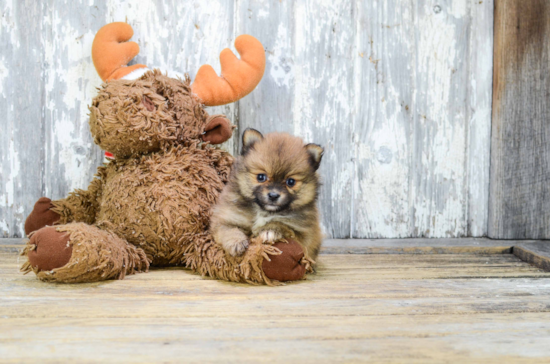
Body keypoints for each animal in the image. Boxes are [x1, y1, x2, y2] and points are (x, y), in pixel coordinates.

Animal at [210, 129, 324, 260]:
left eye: (290, 182)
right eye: (261, 177)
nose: (273, 195)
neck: (264, 212)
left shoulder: (306, 236)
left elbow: (283, 225)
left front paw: (270, 231)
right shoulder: (227, 218)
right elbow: (229, 230)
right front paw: (236, 242)